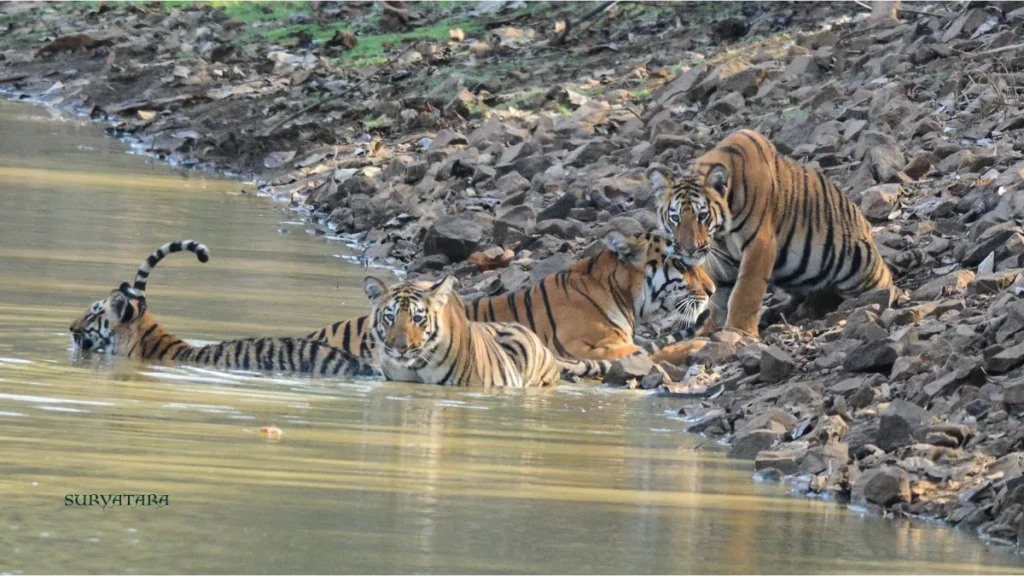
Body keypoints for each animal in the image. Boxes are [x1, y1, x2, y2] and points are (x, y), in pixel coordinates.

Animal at [649, 129, 895, 338]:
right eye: (675, 218)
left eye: (702, 216)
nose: (688, 249)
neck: (721, 234)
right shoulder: (720, 255)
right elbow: (718, 293)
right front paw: (710, 329)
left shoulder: (760, 243)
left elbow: (746, 290)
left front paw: (739, 331)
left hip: (859, 263)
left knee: (885, 283)